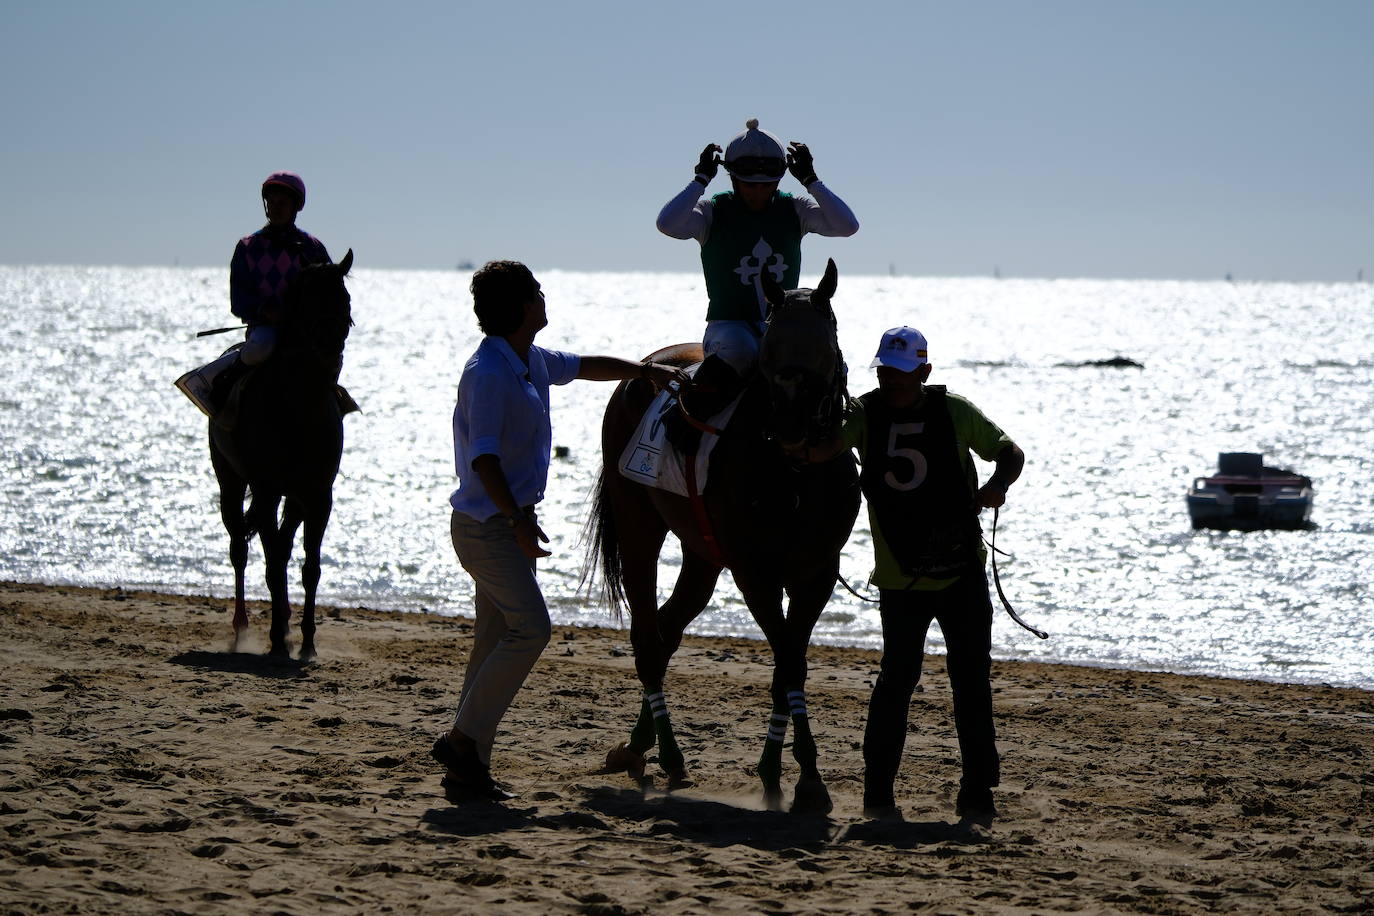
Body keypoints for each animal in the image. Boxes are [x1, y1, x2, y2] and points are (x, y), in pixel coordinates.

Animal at [208, 250, 354, 660]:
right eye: (309, 301)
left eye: (345, 301)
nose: (331, 352)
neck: (298, 407)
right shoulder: (267, 490)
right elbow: (272, 564)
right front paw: (275, 642)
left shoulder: (318, 494)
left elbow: (310, 567)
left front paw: (306, 642)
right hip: (229, 479)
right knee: (240, 547)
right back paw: (242, 630)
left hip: (296, 495)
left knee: (284, 547)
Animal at [586, 258, 860, 813]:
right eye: (770, 350)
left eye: (826, 347)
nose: (791, 426)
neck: (793, 474)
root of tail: (644, 370)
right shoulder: (756, 573)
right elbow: (788, 664)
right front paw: (796, 775)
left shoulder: (817, 572)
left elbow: (789, 665)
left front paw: (794, 774)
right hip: (639, 525)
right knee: (647, 636)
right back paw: (665, 754)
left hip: (702, 553)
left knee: (667, 632)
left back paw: (641, 747)